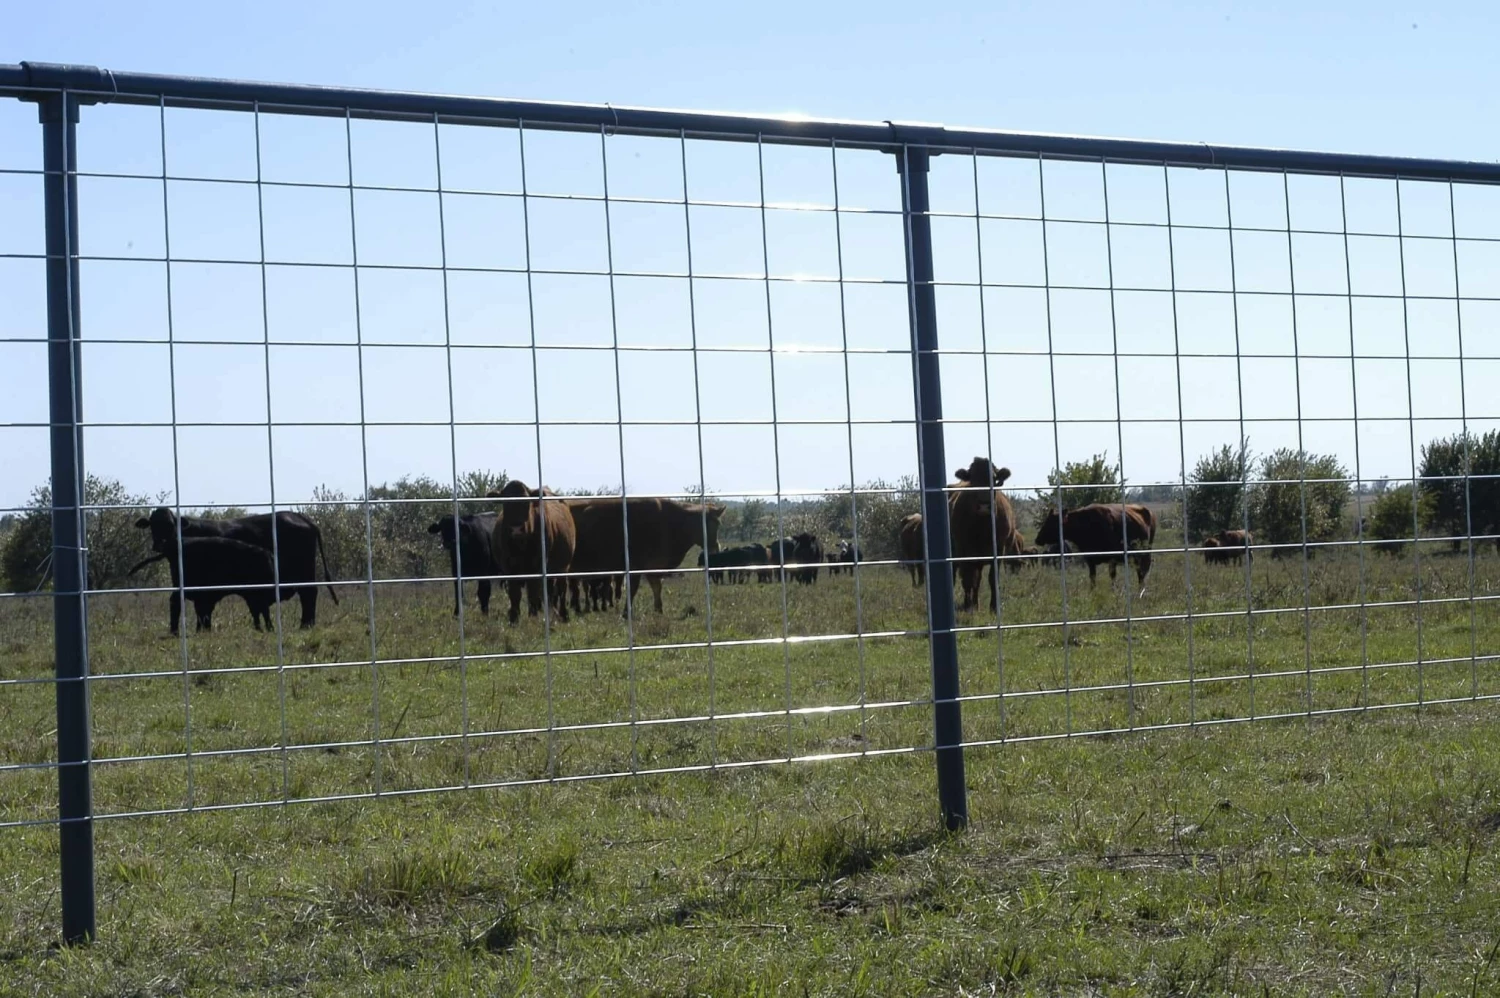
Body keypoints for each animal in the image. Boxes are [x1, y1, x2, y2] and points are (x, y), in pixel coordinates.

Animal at [134, 507, 338, 628]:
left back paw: (306, 625)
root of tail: (300, 517)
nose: (159, 544)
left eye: (170, 525)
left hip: (304, 573)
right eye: (152, 526)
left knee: (309, 594)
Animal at [490, 481, 575, 624]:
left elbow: (533, 593)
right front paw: (514, 619)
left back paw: (563, 615)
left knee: (561, 590)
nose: (516, 528)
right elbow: (515, 594)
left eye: (526, 502)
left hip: (564, 568)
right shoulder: (509, 568)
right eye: (505, 502)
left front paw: (533, 617)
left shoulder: (537, 567)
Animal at [566, 497, 724, 615]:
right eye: (709, 524)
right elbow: (633, 589)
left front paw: (659, 609)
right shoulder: (636, 567)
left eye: (718, 523)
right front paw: (626, 613)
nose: (716, 548)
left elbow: (657, 587)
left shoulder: (653, 567)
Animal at [948, 457, 1018, 612]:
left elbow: (992, 579)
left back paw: (976, 603)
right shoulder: (964, 550)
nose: (984, 505)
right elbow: (967, 579)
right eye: (973, 480)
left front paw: (994, 607)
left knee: (977, 579)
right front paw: (968, 606)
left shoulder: (999, 549)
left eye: (994, 479)